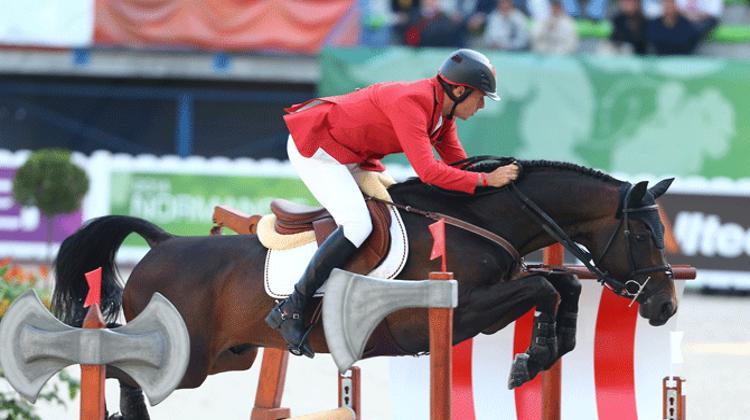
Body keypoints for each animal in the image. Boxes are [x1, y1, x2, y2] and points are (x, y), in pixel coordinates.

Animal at [50, 158, 680, 420]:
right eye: (643, 235)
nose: (665, 306)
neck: (478, 221)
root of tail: (161, 244)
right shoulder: (459, 313)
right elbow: (543, 292)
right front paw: (532, 359)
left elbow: (559, 286)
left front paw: (544, 352)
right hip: (188, 360)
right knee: (112, 367)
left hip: (229, 356)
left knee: (126, 375)